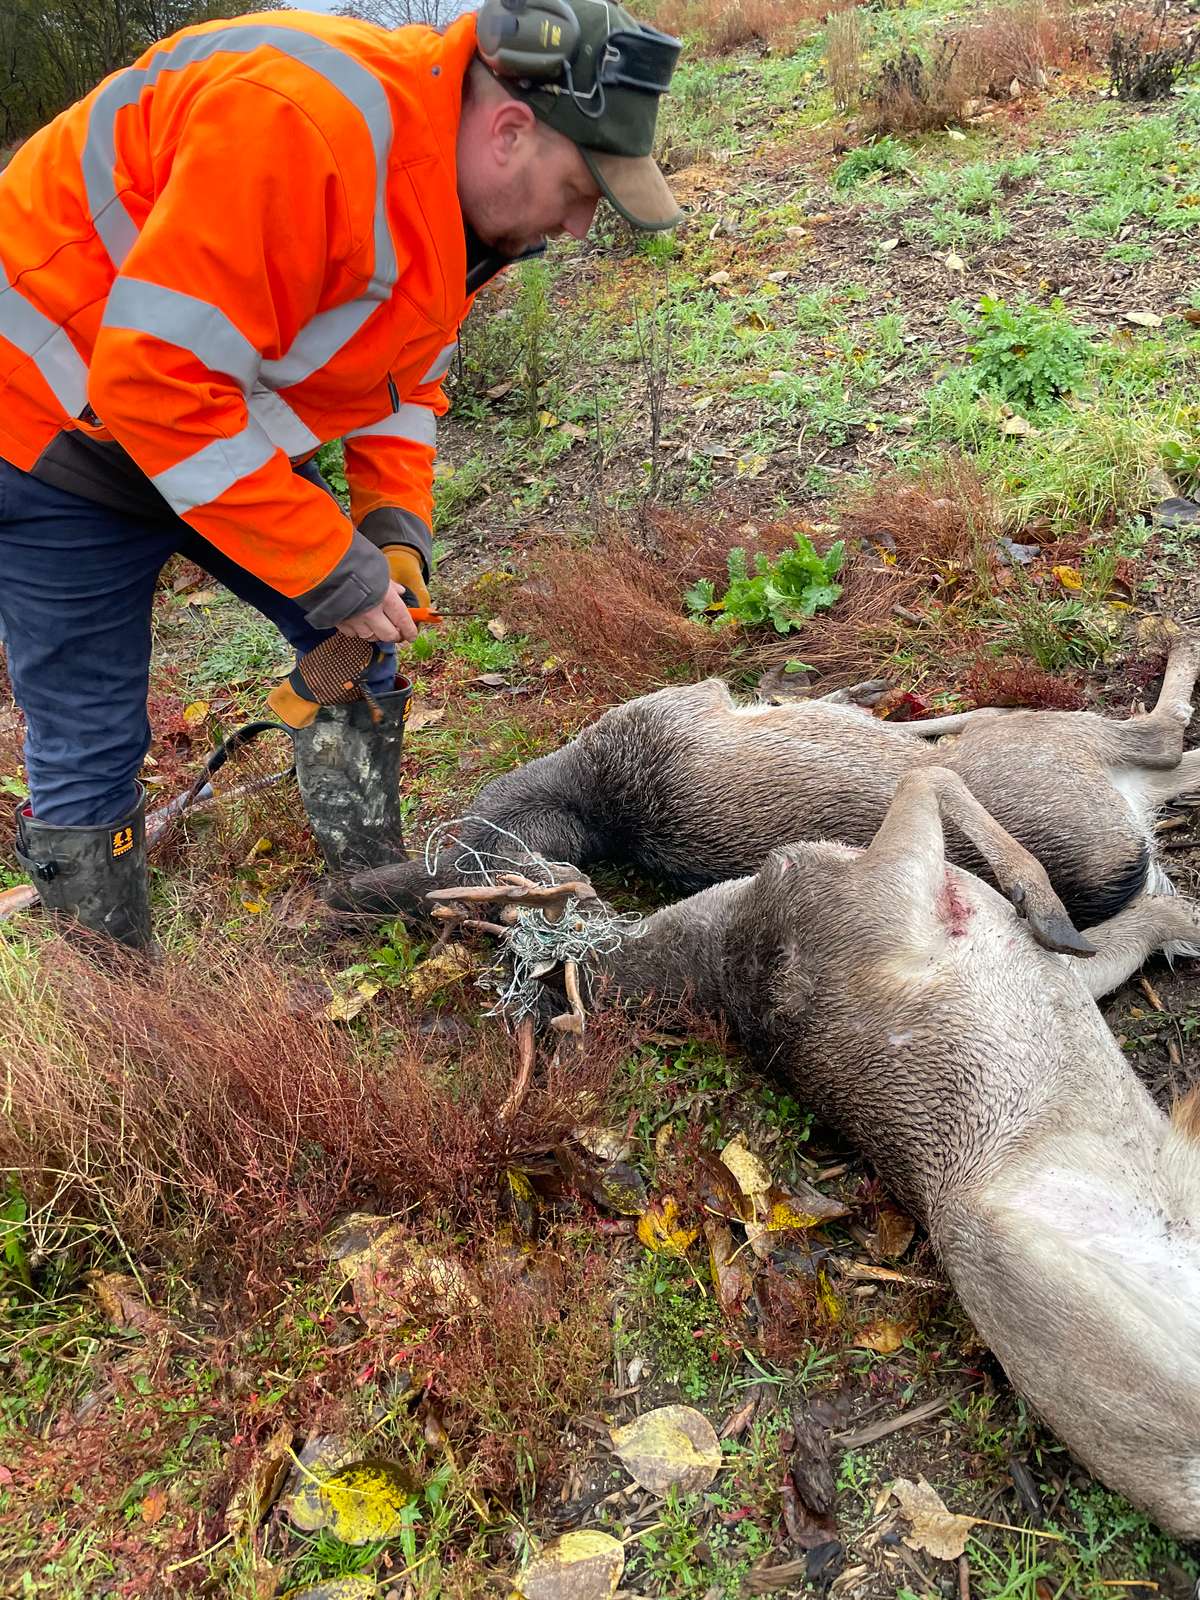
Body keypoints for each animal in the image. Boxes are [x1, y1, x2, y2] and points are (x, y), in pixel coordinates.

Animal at [334, 630, 1200, 940]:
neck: (591, 804)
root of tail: (1119, 868)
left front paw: (860, 692)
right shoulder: (700, 696)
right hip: (1052, 744)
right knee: (1156, 736)